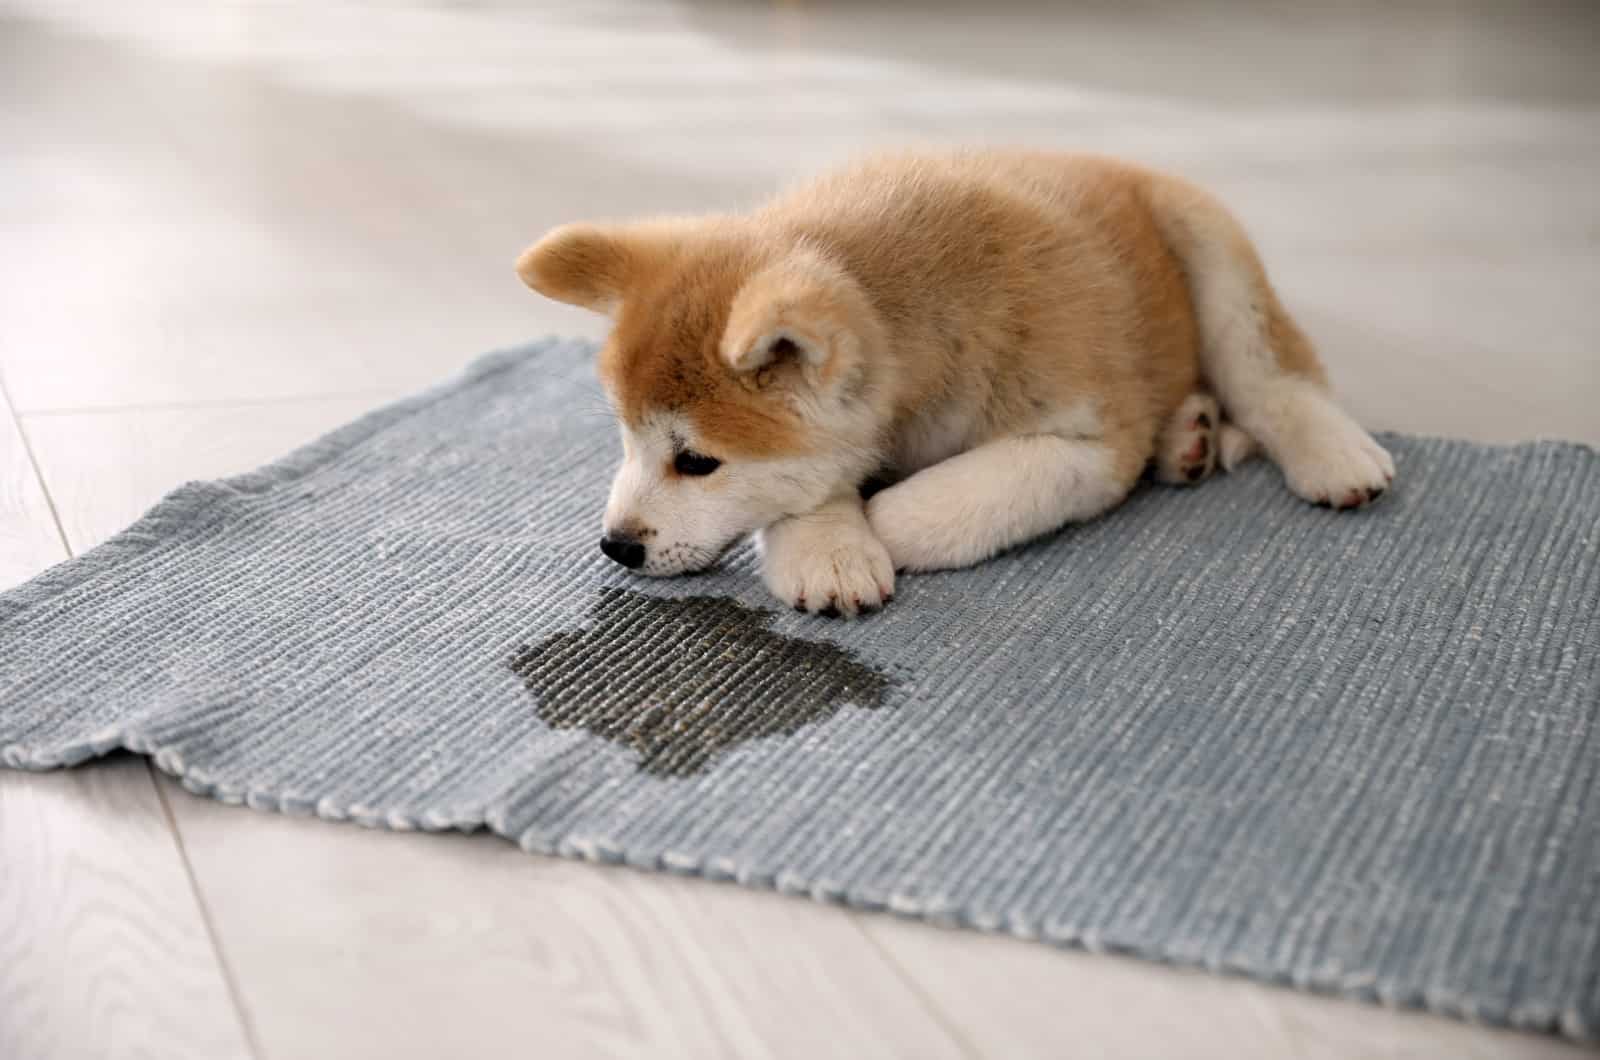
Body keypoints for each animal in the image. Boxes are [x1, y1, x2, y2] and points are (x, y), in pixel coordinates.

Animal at [518, 148, 1395, 614]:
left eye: (697, 461)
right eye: (625, 437)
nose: (616, 546)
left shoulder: (1088, 443)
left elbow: (939, 505)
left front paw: (869, 524)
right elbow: (818, 485)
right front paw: (826, 545)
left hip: (1207, 244)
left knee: (1271, 375)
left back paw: (1331, 454)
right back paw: (1189, 437)